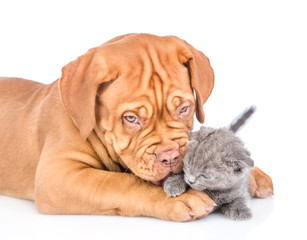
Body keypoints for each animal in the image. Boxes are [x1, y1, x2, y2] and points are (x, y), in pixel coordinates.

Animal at [0, 33, 274, 221]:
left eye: (184, 108)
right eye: (131, 119)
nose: (171, 157)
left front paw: (251, 174)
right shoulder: (57, 177)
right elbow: (120, 183)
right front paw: (183, 198)